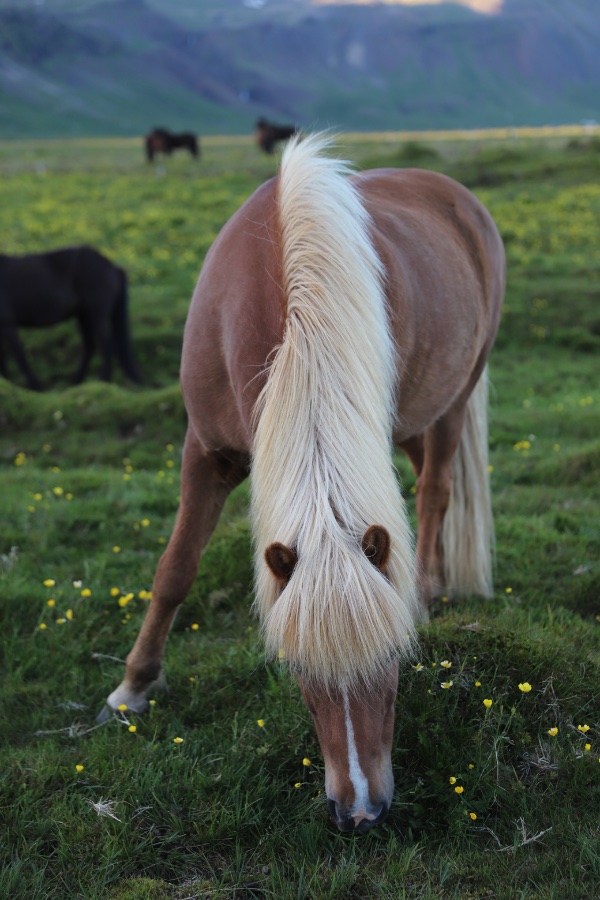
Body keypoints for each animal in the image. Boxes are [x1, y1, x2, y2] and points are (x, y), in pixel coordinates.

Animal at [0, 246, 141, 390]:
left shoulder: (7, 323)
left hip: (96, 315)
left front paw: (34, 386)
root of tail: (112, 267)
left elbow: (19, 356)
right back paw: (77, 383)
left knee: (107, 344)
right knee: (91, 346)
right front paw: (6, 382)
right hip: (84, 316)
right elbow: (4, 358)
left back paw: (102, 381)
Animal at [99, 134, 505, 833]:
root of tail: (457, 195)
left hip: (455, 396)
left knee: (436, 491)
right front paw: (134, 687)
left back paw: (429, 589)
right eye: (298, 669)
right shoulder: (205, 452)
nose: (360, 811)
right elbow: (175, 568)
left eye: (394, 661)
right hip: (418, 419)